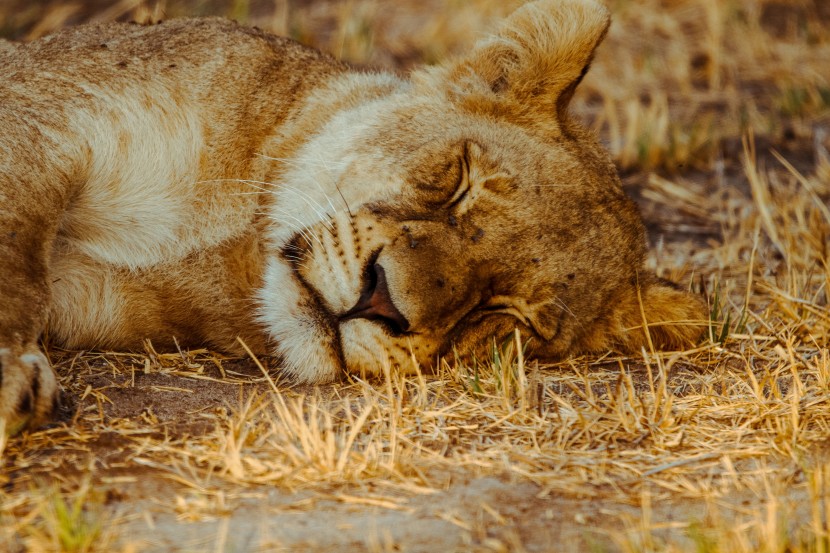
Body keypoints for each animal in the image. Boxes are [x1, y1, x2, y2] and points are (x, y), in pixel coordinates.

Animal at [0, 0, 708, 432]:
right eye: (459, 182)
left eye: (505, 316)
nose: (383, 301)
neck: (225, 249)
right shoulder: (37, 114)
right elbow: (15, 259)